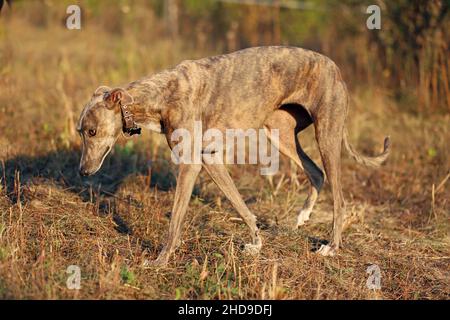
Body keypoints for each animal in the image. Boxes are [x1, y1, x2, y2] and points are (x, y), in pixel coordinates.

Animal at [75, 46, 388, 266]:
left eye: (91, 131)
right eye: (81, 132)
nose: (82, 172)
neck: (160, 94)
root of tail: (335, 68)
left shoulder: (190, 163)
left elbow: (175, 219)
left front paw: (160, 260)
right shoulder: (210, 158)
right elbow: (241, 206)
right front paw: (257, 242)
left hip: (327, 136)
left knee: (339, 198)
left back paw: (331, 247)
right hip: (280, 132)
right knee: (316, 172)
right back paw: (302, 216)